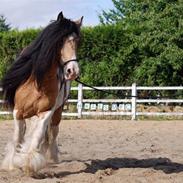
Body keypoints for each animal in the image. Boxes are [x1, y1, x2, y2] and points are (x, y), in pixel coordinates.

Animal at [0, 11, 83, 174]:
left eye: (77, 41)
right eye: (60, 40)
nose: (72, 71)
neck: (38, 84)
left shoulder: (47, 112)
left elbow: (38, 136)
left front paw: (29, 165)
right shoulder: (18, 112)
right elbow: (17, 137)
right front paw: (12, 164)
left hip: (58, 112)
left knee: (52, 133)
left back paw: (52, 156)